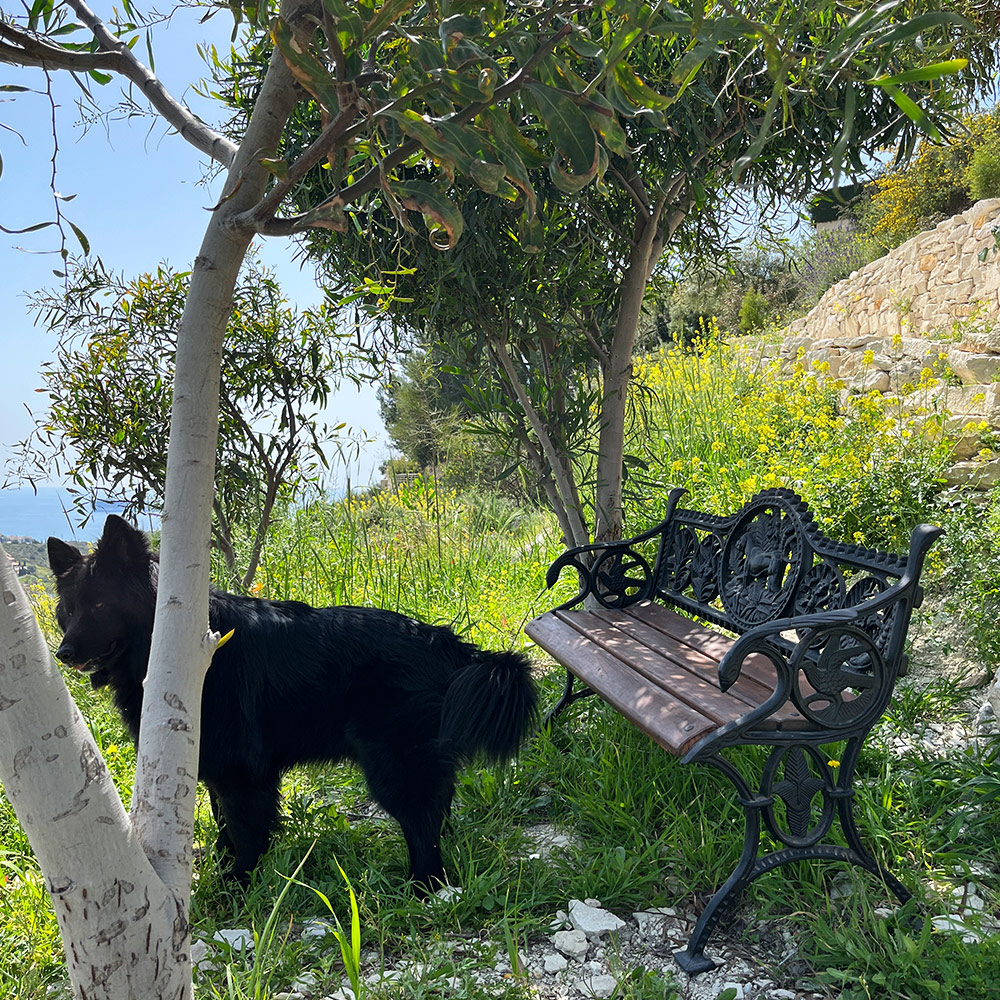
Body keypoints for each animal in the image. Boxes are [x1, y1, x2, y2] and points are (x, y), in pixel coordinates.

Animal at [48, 516, 540, 884]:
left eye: (99, 606)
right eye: (69, 610)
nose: (62, 653)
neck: (178, 644)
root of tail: (443, 641)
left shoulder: (243, 772)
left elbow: (245, 829)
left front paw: (236, 885)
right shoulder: (217, 765)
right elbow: (224, 822)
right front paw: (224, 867)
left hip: (393, 763)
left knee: (421, 820)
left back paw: (425, 884)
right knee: (438, 806)